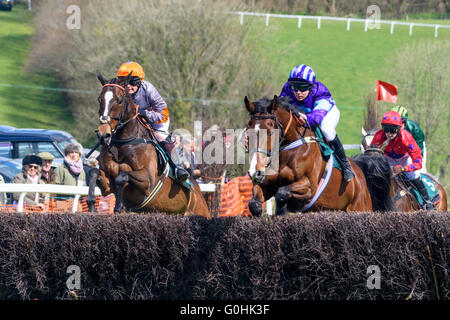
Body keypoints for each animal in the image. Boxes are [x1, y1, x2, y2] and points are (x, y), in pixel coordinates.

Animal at [87, 71, 211, 218]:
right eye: (99, 100)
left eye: (119, 100)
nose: (103, 135)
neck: (124, 142)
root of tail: (198, 193)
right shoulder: (107, 183)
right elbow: (94, 172)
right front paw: (91, 204)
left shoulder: (148, 181)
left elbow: (122, 176)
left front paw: (118, 207)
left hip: (199, 212)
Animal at [244, 95, 392, 215]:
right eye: (248, 130)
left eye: (270, 132)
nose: (255, 171)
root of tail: (361, 175)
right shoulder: (268, 185)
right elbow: (254, 204)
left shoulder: (310, 187)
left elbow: (282, 193)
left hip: (359, 207)